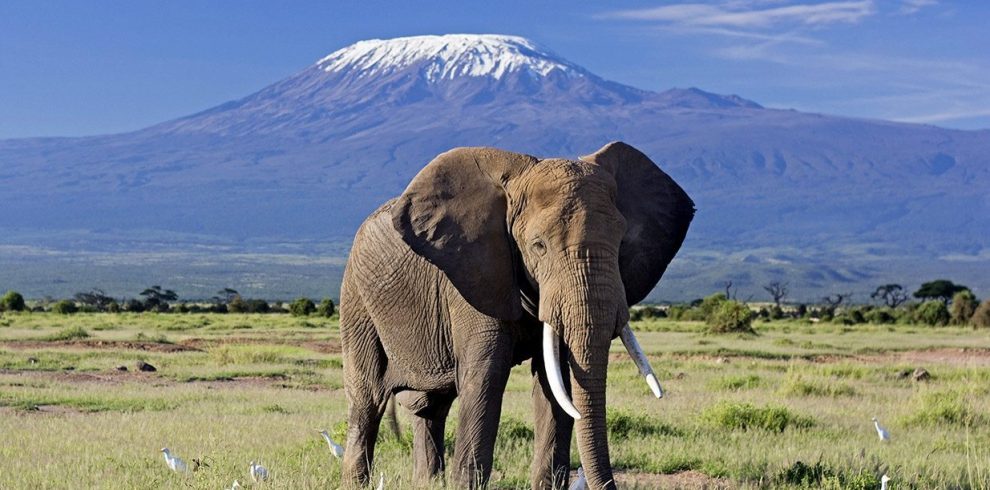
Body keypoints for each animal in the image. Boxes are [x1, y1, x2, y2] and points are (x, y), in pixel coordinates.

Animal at [340, 140, 696, 488]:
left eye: (621, 242)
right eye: (538, 246)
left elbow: (555, 381)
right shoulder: (474, 277)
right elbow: (486, 376)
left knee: (431, 407)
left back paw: (427, 481)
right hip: (356, 298)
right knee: (367, 397)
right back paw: (358, 482)